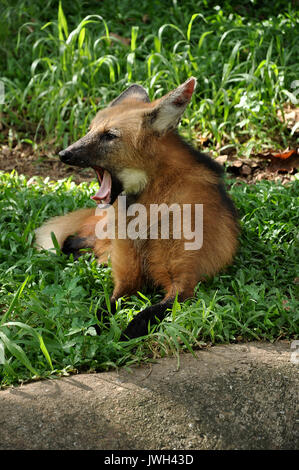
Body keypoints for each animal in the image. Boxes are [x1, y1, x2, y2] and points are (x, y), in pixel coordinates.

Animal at [35, 79, 239, 340]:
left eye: (109, 136)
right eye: (89, 130)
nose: (64, 154)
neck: (149, 212)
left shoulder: (184, 284)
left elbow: (147, 314)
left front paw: (124, 335)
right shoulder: (127, 279)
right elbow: (104, 306)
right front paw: (96, 328)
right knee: (70, 241)